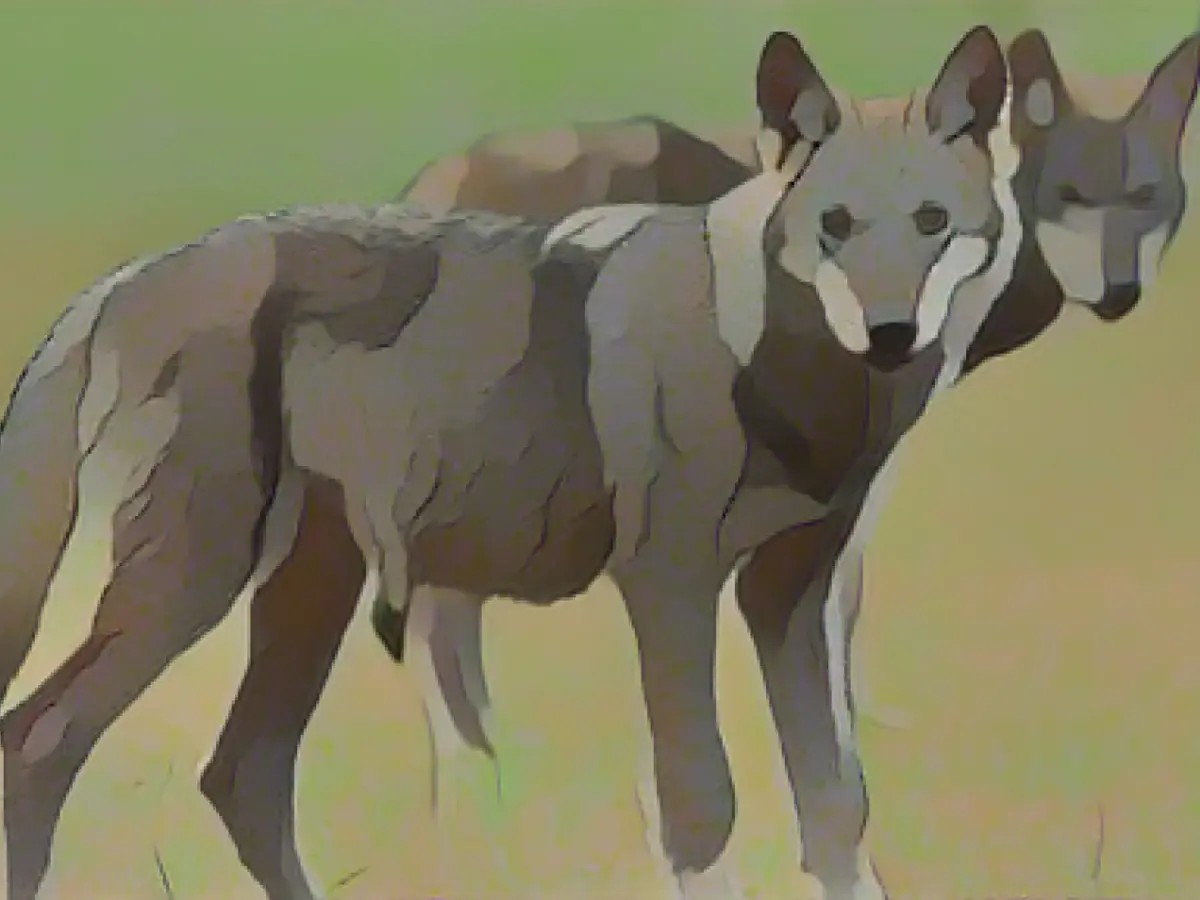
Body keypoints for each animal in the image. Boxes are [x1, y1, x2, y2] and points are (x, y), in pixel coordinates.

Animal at [0, 24, 1013, 900]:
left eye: (931, 221)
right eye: (837, 224)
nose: (891, 333)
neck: (774, 361)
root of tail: (121, 280)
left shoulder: (791, 601)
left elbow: (837, 809)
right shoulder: (672, 590)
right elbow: (702, 805)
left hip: (303, 595)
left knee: (242, 776)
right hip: (189, 588)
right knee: (38, 749)